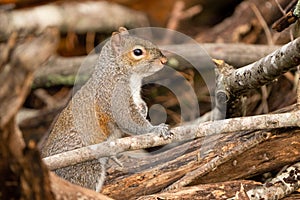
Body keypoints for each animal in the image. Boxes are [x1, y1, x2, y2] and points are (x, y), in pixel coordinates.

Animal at [40, 27, 170, 191]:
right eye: (137, 52)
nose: (164, 60)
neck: (117, 72)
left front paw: (143, 109)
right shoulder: (114, 96)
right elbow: (128, 120)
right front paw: (155, 129)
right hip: (84, 166)